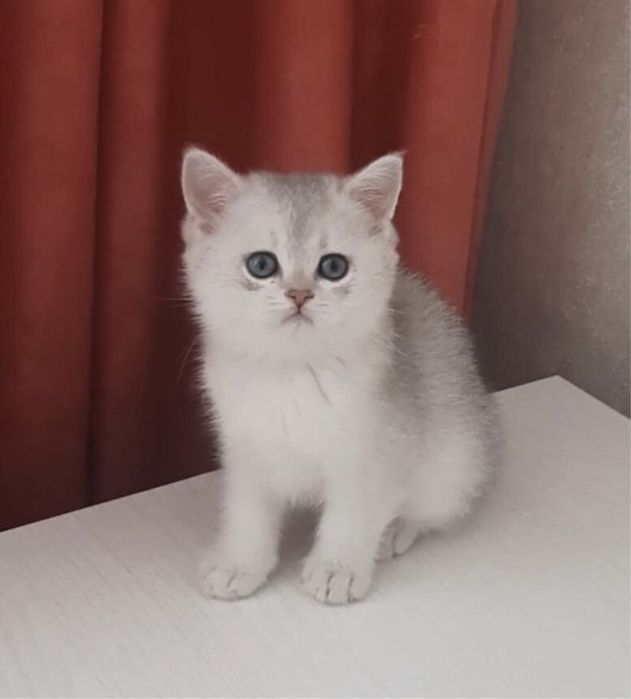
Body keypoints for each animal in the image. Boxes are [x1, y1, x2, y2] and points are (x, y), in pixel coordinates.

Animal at [181, 147, 498, 604]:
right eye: (261, 264)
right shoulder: (247, 450)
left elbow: (351, 517)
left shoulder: (373, 455)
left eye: (333, 267)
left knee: (430, 509)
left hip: (456, 462)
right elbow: (246, 513)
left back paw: (395, 532)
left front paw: (337, 570)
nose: (299, 294)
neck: (291, 374)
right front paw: (239, 564)